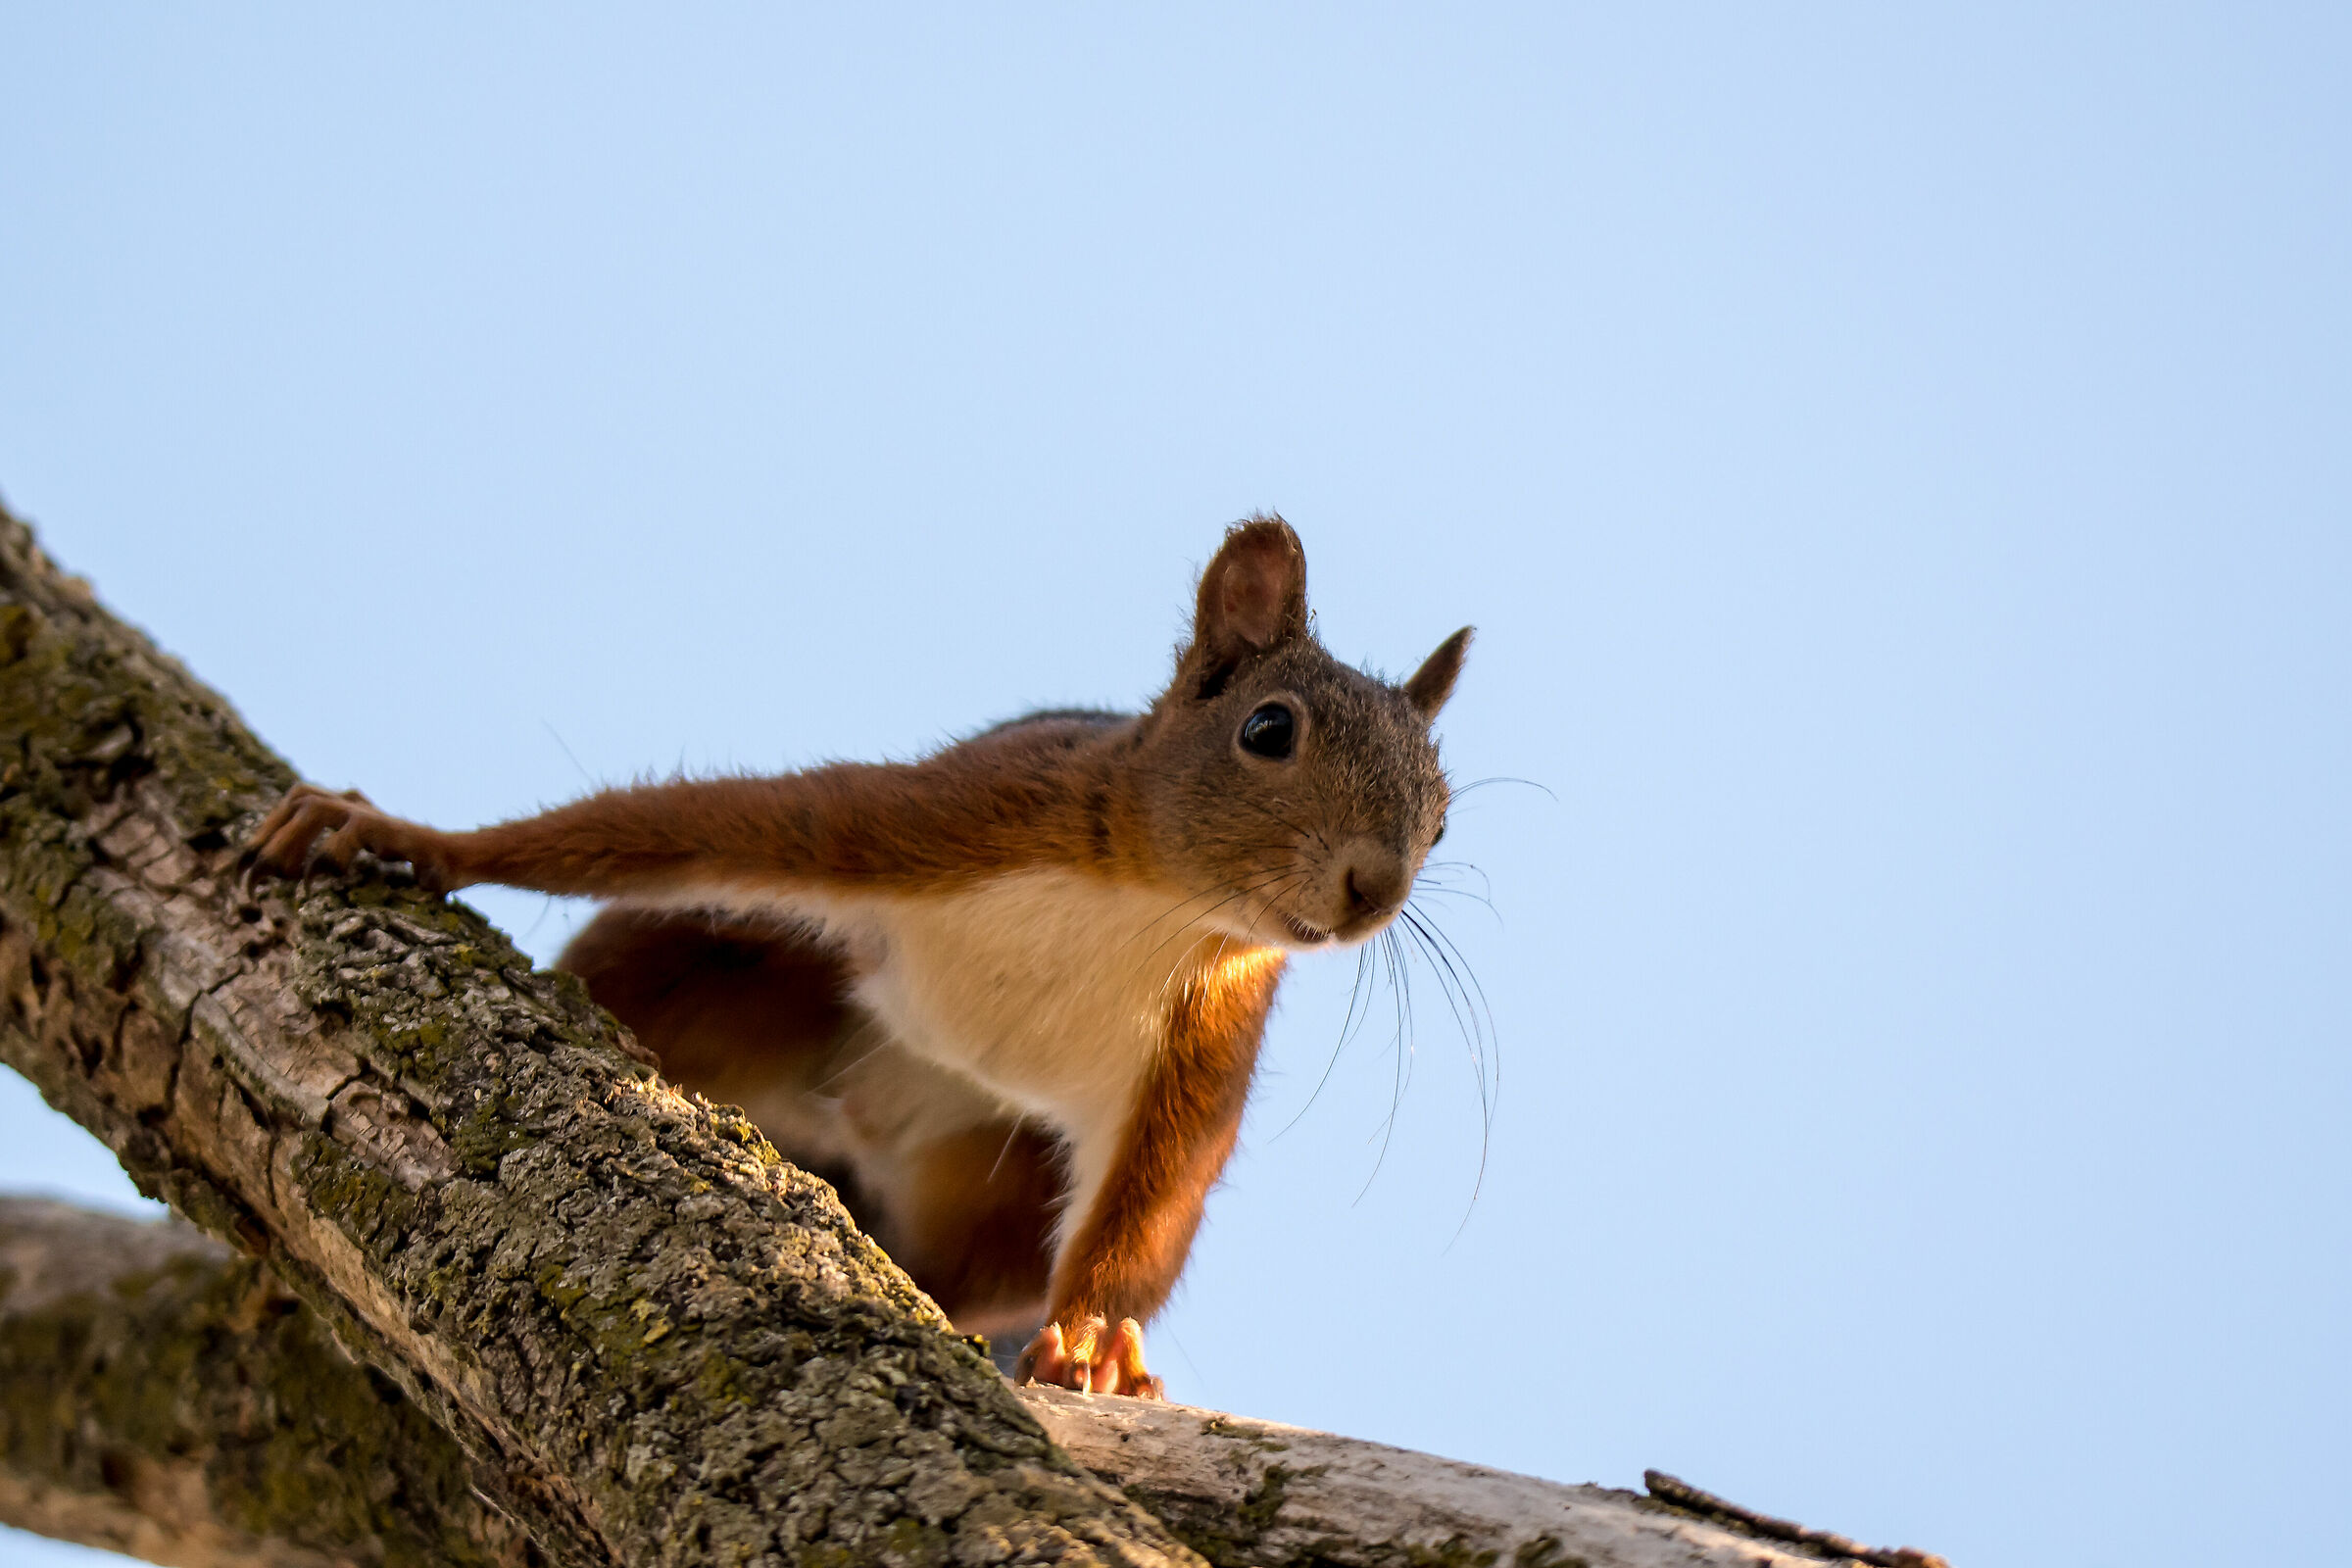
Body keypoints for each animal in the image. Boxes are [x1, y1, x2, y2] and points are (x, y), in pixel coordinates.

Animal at [247, 515, 1470, 1398]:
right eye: (1268, 729)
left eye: (1444, 816)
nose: (1375, 890)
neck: (1160, 907)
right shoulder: (957, 814)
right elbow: (702, 823)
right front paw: (410, 837)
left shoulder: (1206, 1035)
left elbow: (1155, 1195)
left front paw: (1092, 1345)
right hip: (701, 963)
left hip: (996, 1192)